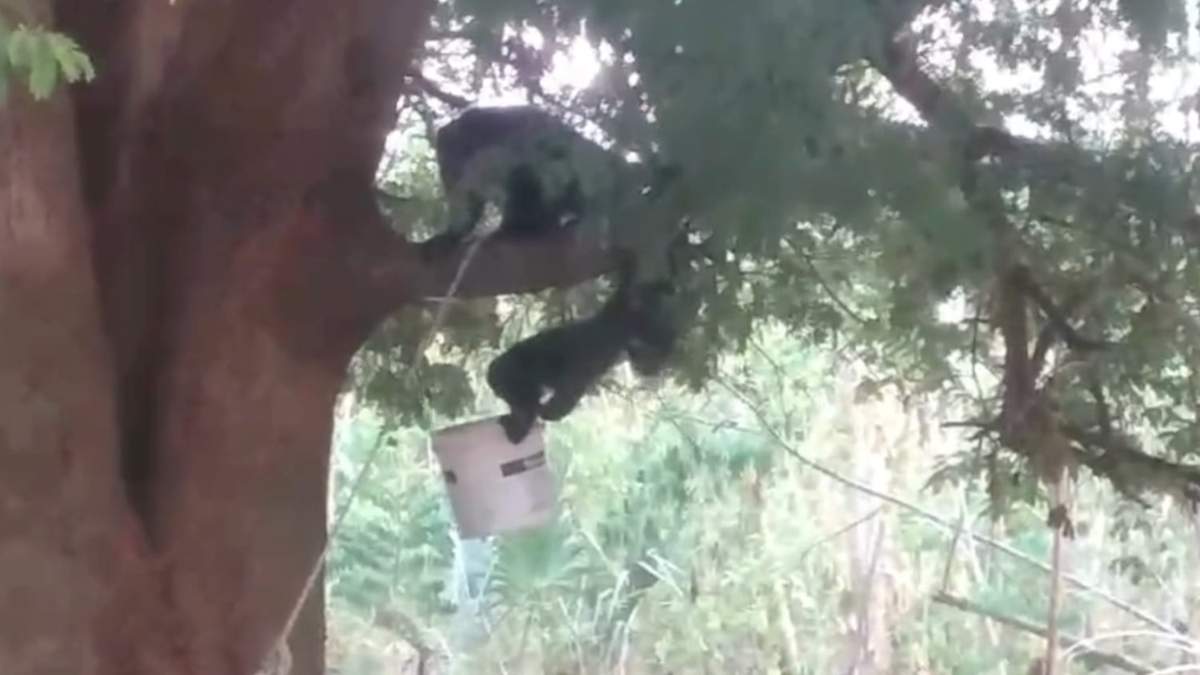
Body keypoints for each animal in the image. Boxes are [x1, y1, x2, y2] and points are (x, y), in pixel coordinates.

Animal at [486, 255, 678, 444]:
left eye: (502, 390)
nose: (501, 395)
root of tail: (606, 316)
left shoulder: (522, 382)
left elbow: (531, 409)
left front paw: (517, 424)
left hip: (636, 323)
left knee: (656, 333)